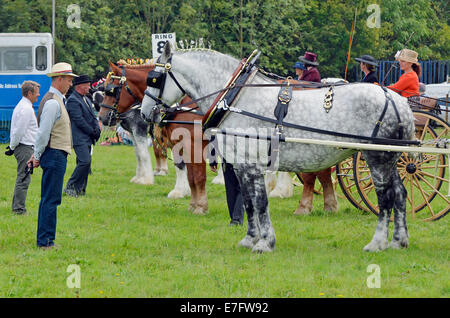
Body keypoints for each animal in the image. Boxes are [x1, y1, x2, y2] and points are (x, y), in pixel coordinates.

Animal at [98, 60, 209, 212]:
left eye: (111, 91)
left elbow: (148, 156)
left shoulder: (142, 131)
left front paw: (149, 181)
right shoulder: (137, 133)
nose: (102, 117)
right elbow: (141, 154)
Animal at [141, 44, 414, 253]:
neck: (235, 98)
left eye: (154, 78)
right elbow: (249, 202)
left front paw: (265, 243)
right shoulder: (241, 165)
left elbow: (260, 202)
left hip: (377, 157)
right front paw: (249, 239)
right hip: (390, 160)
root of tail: (397, 100)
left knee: (385, 198)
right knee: (400, 194)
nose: (144, 112)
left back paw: (377, 243)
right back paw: (398, 242)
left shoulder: (252, 165)